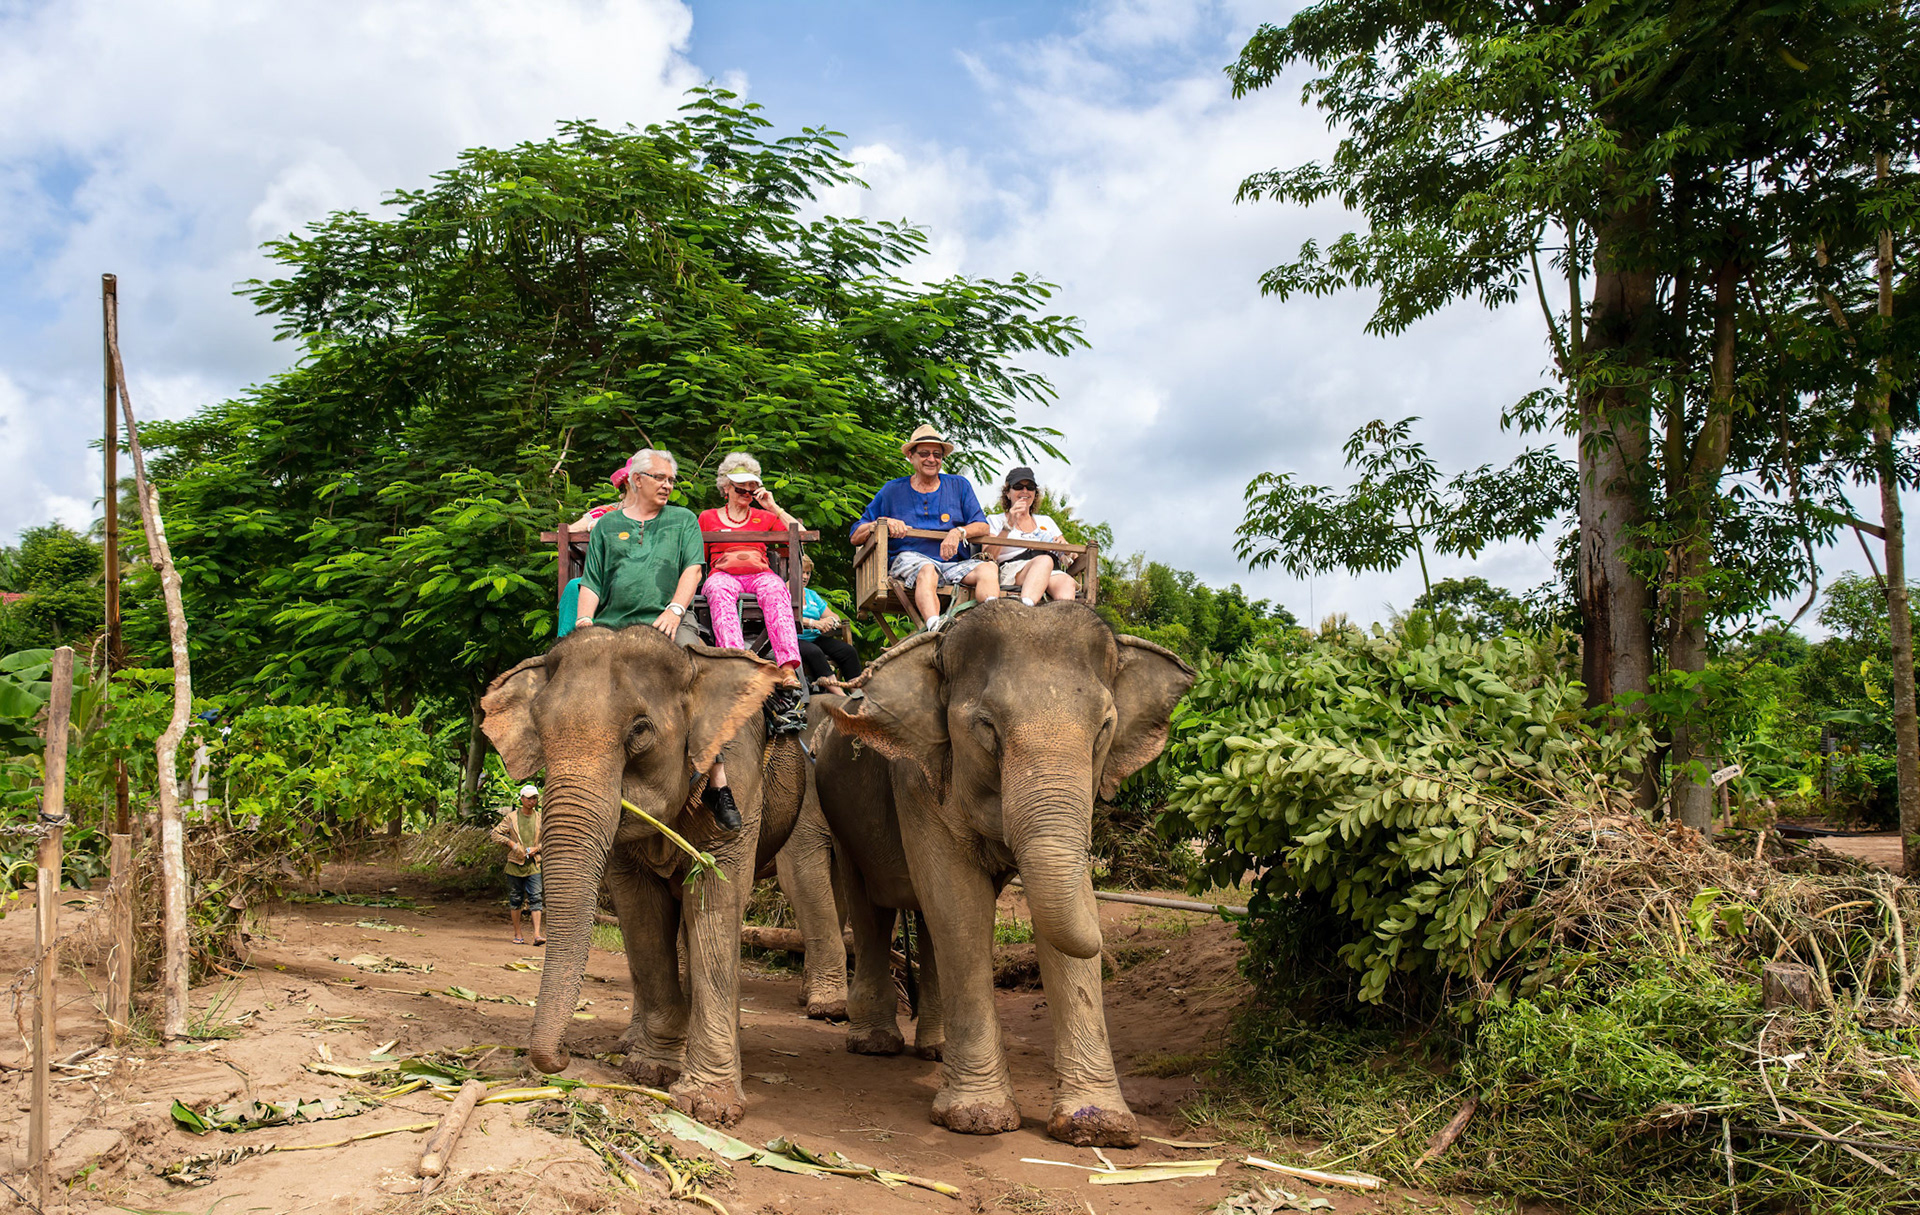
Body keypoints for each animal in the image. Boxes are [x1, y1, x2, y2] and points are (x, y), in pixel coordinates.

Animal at [481, 624, 809, 1125]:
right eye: (539, 729)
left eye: (639, 730)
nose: (562, 1058)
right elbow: (641, 915)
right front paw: (651, 1070)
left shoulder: (740, 774)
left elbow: (716, 902)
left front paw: (710, 1108)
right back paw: (633, 1045)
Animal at [814, 599, 1194, 1147]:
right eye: (986, 726)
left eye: (1105, 726)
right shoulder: (917, 777)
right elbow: (958, 905)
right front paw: (977, 1119)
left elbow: (1045, 909)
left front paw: (1100, 1128)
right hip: (839, 814)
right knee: (872, 910)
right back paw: (875, 1044)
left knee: (925, 923)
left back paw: (934, 1050)